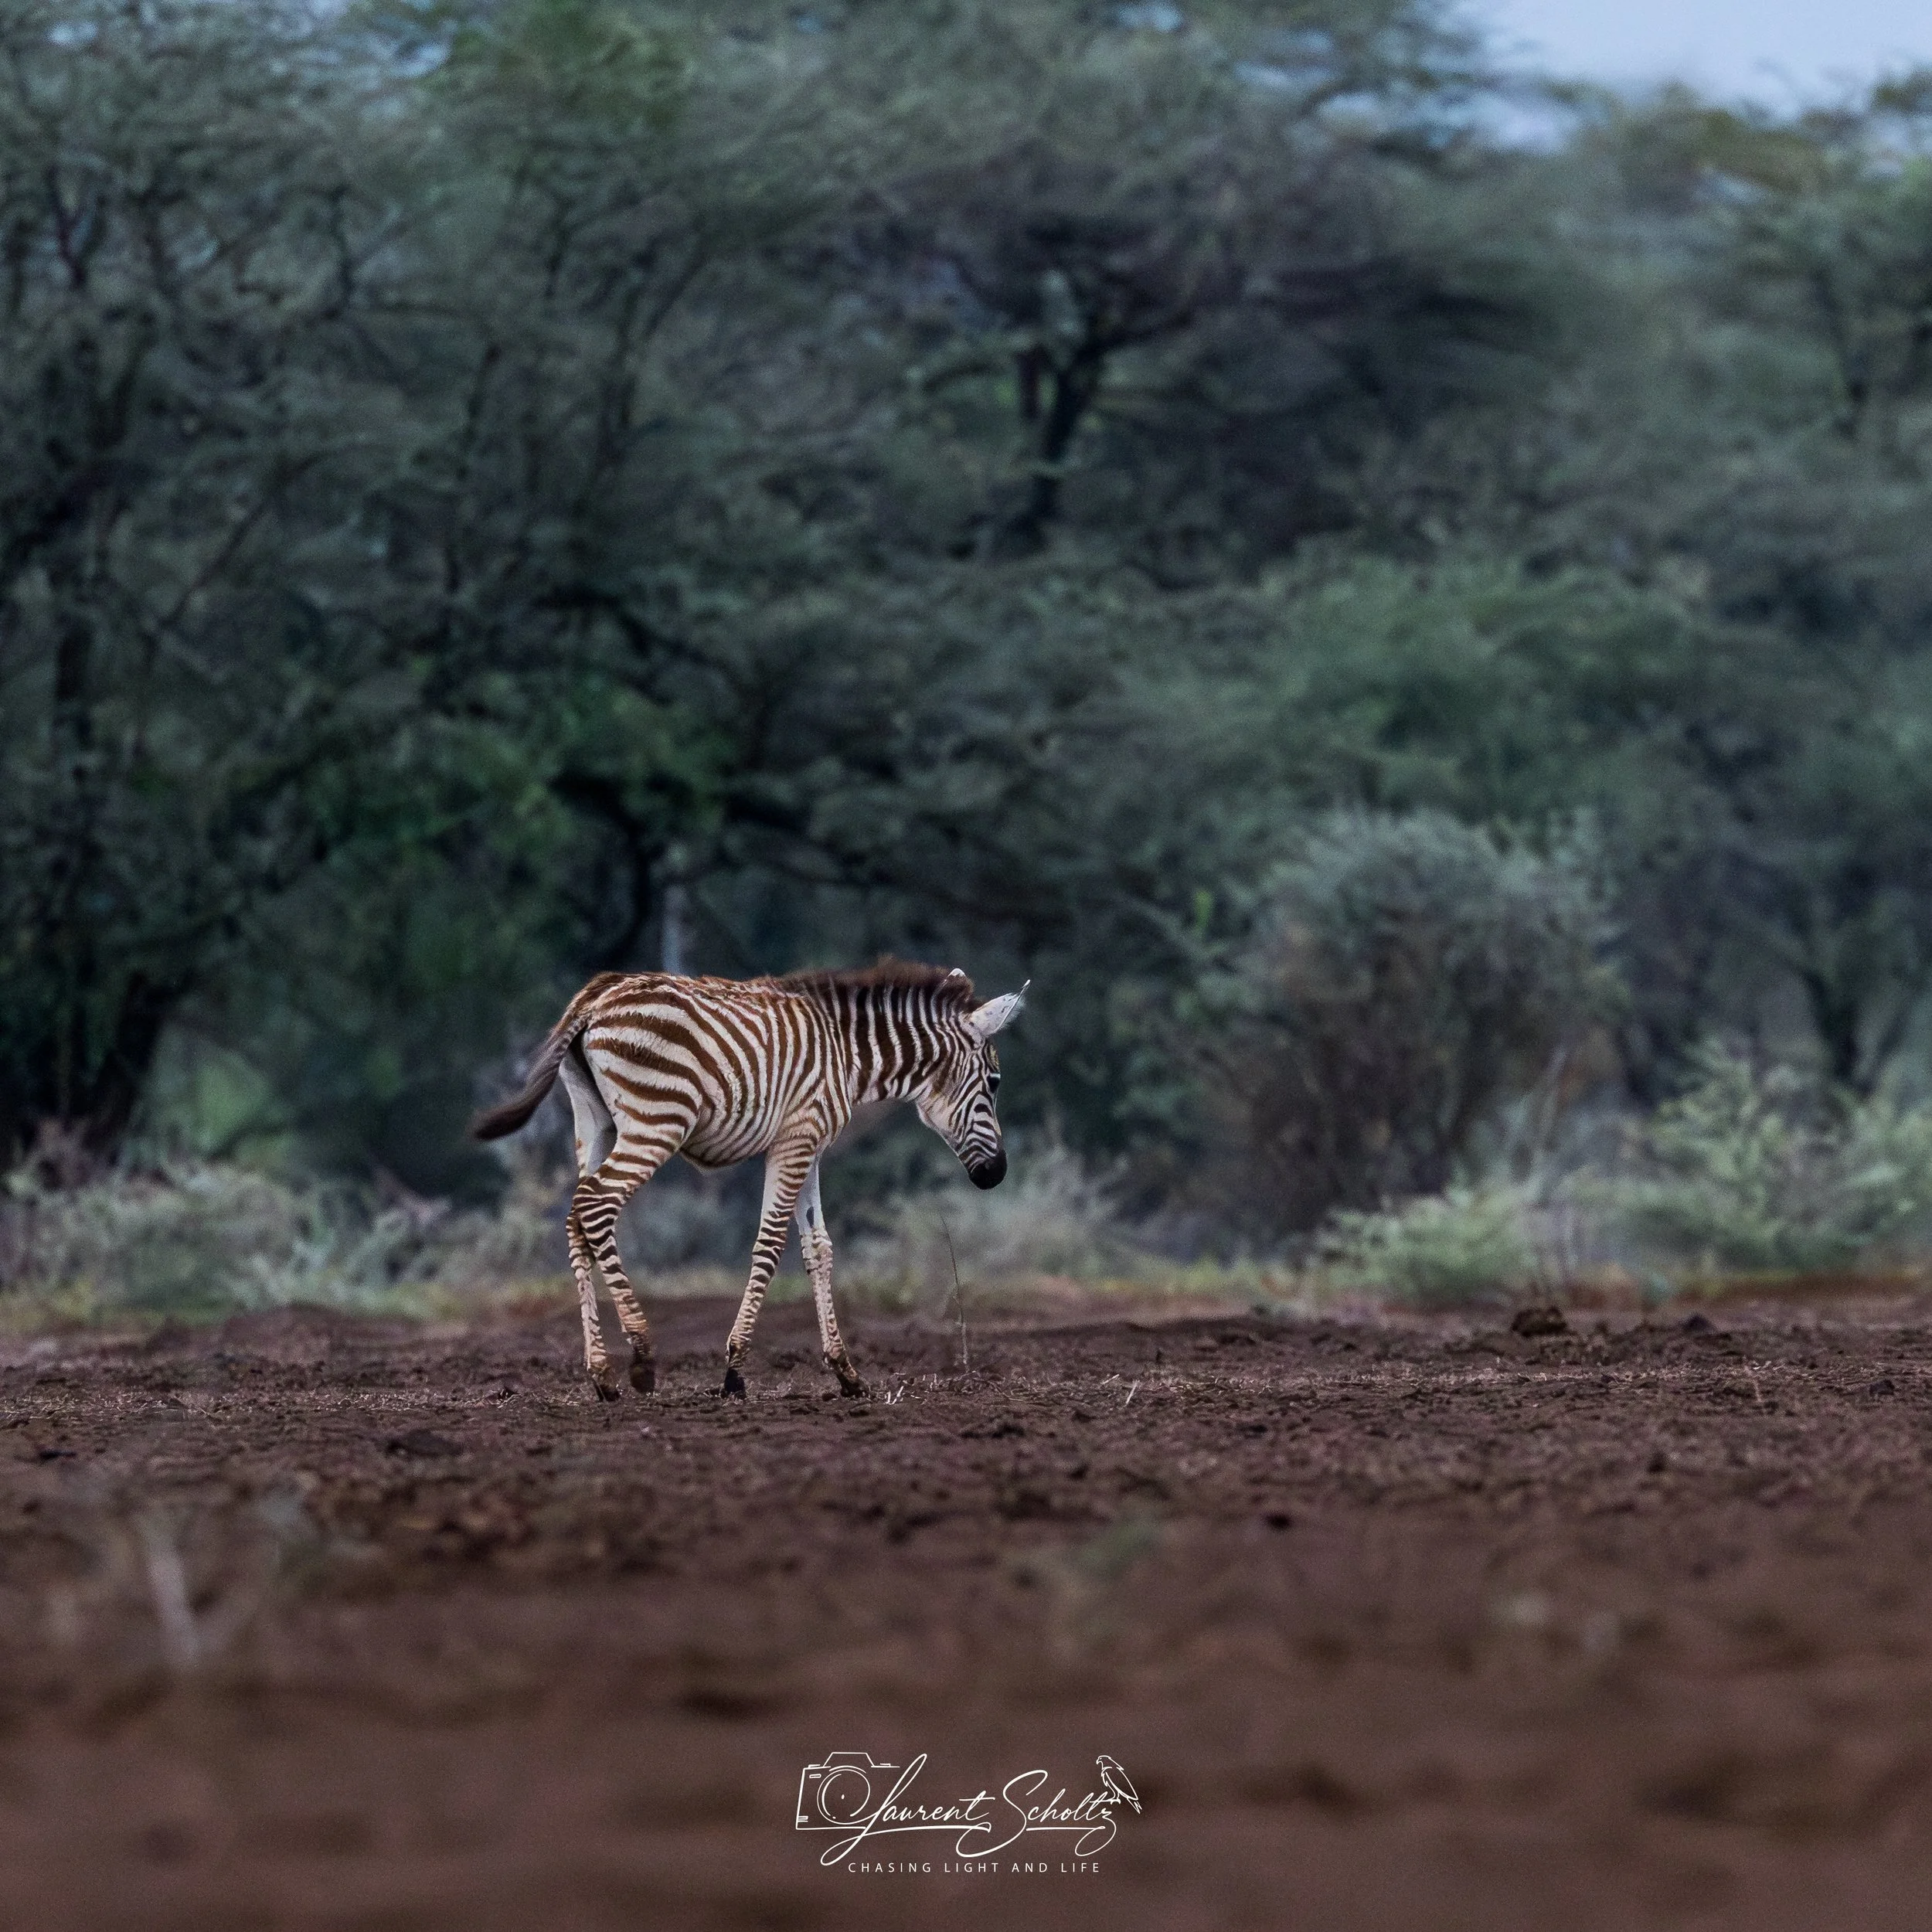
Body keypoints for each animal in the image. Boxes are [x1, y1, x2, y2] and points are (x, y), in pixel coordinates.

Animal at [470, 960, 1026, 1401]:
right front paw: (735, 1371)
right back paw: (643, 1357)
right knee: (596, 1205)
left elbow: (818, 1246)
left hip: (593, 1122)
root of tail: (596, 995)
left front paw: (846, 1373)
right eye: (996, 1083)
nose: (996, 1174)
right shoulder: (795, 1140)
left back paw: (602, 1374)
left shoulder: (808, 1143)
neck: (846, 1054)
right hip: (657, 1120)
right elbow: (771, 1242)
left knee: (576, 1217)